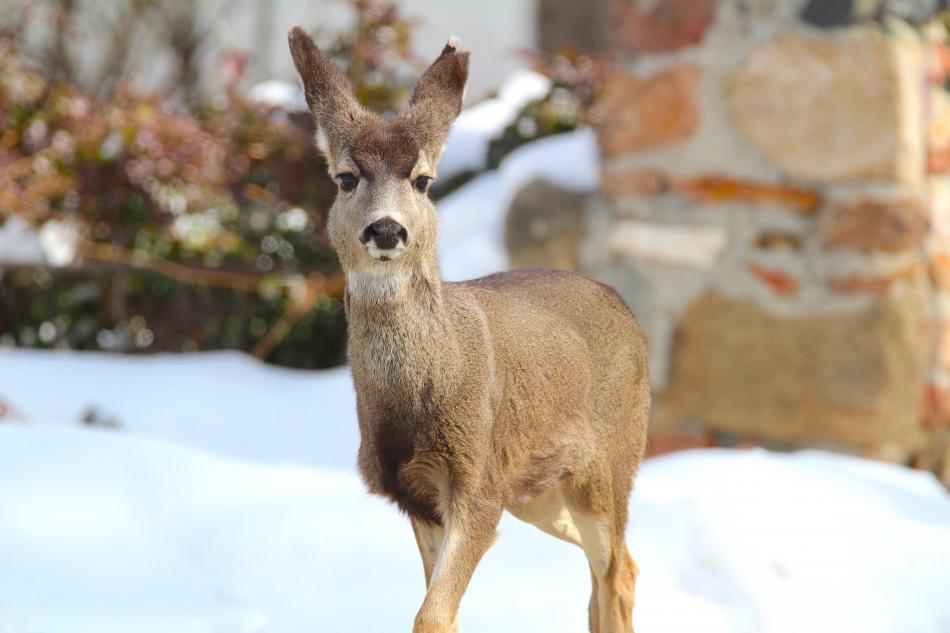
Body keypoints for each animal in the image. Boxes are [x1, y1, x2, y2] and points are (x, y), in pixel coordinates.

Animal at [288, 26, 650, 633]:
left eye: (423, 179)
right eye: (346, 177)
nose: (386, 229)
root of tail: (625, 308)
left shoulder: (477, 483)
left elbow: (432, 615)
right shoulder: (417, 496)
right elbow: (442, 611)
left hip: (610, 462)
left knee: (617, 568)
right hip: (539, 492)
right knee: (615, 568)